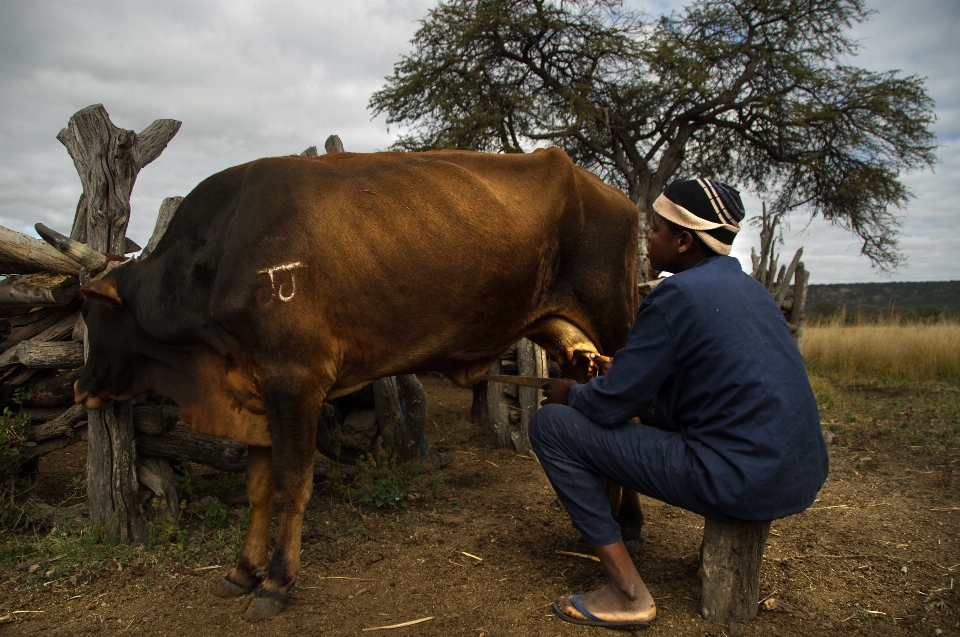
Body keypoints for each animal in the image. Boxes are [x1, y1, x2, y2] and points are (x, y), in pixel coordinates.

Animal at [50, 147, 636, 620]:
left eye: (89, 315)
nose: (78, 388)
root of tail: (606, 189)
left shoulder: (295, 380)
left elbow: (292, 484)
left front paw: (277, 582)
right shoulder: (256, 393)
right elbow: (258, 488)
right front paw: (242, 572)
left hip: (617, 322)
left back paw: (626, 526)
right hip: (571, 345)